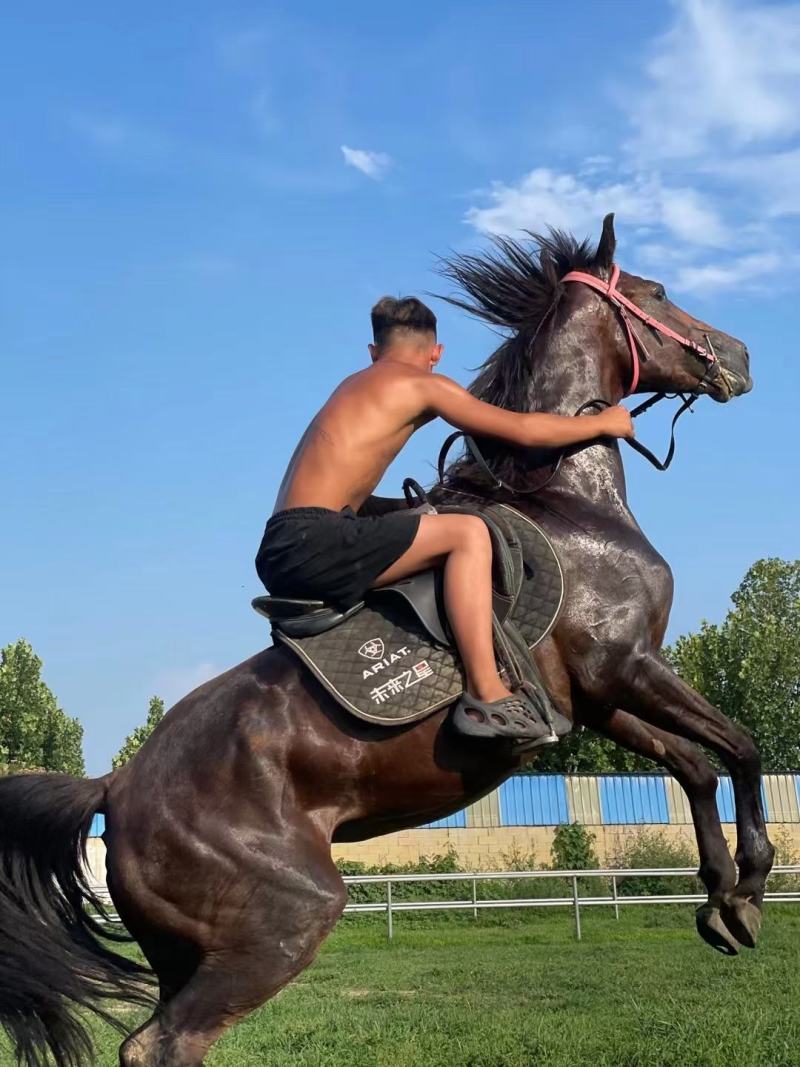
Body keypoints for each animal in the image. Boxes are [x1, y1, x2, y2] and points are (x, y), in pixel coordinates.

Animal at [0, 214, 773, 1067]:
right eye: (657, 291)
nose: (741, 355)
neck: (569, 501)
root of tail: (113, 785)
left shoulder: (601, 698)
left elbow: (696, 765)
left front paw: (721, 904)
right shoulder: (630, 667)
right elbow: (740, 748)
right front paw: (750, 886)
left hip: (189, 949)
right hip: (286, 919)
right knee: (161, 1044)